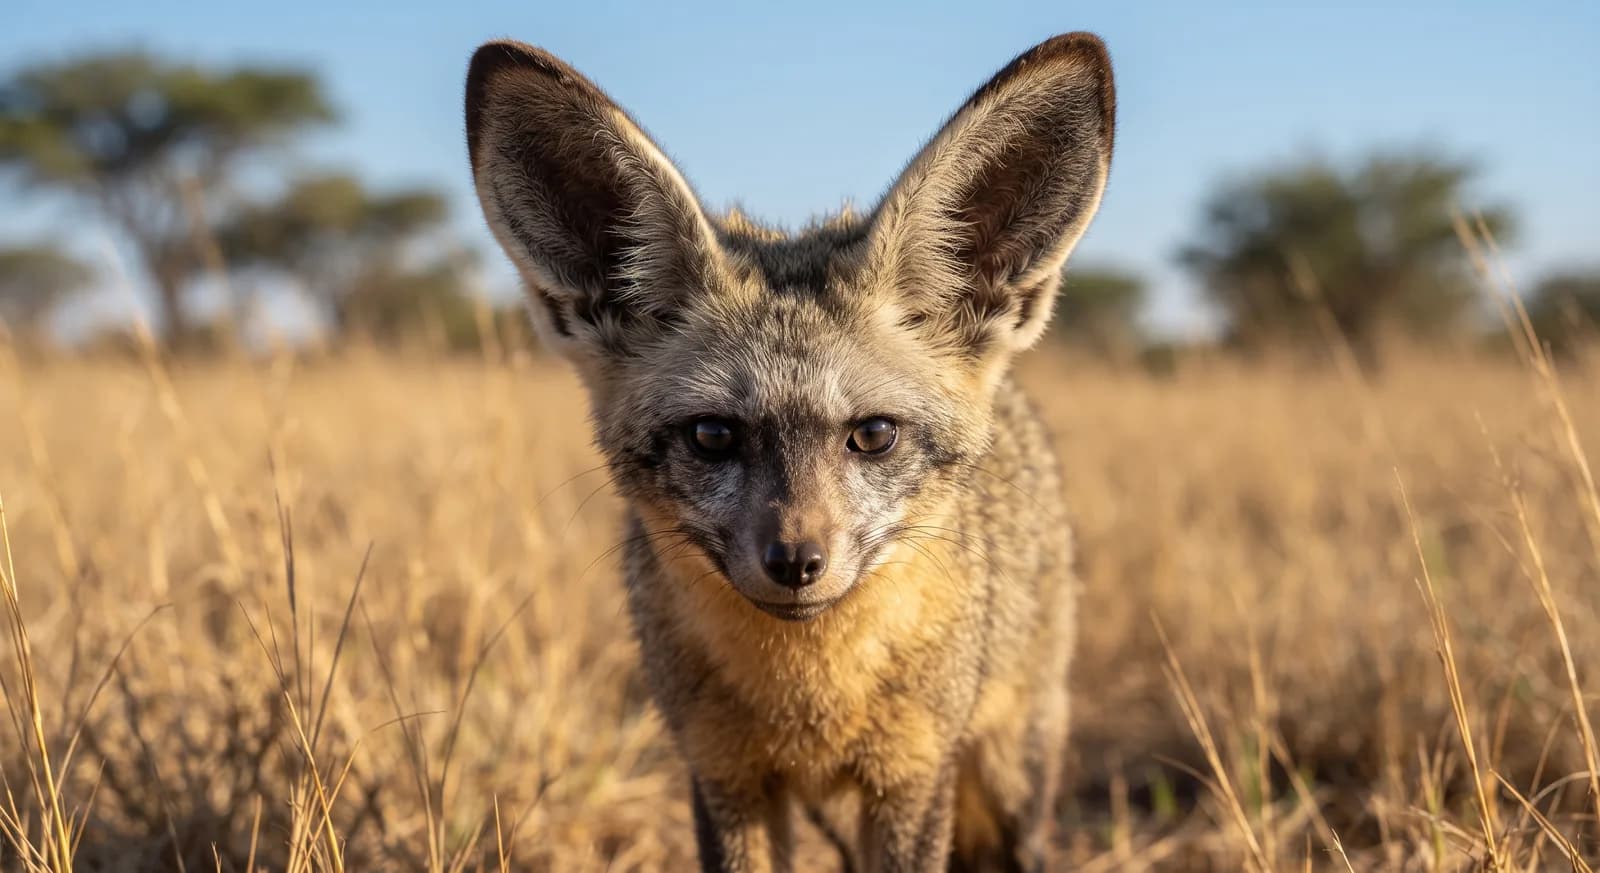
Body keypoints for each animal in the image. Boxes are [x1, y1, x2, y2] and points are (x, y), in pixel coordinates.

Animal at [464, 31, 1115, 872]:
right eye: (713, 435)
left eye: (873, 434)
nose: (796, 561)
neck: (808, 698)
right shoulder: (724, 773)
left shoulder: (911, 776)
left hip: (1011, 775)